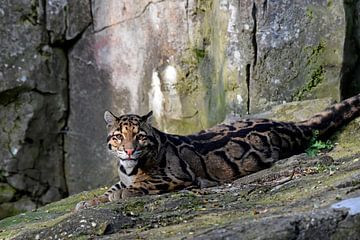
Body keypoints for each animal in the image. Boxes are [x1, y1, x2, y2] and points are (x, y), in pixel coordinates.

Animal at [75, 94, 360, 210]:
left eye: (140, 136)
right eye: (118, 136)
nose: (129, 149)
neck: (130, 167)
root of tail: (290, 124)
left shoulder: (178, 176)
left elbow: (141, 185)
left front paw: (120, 194)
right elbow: (112, 188)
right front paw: (91, 201)